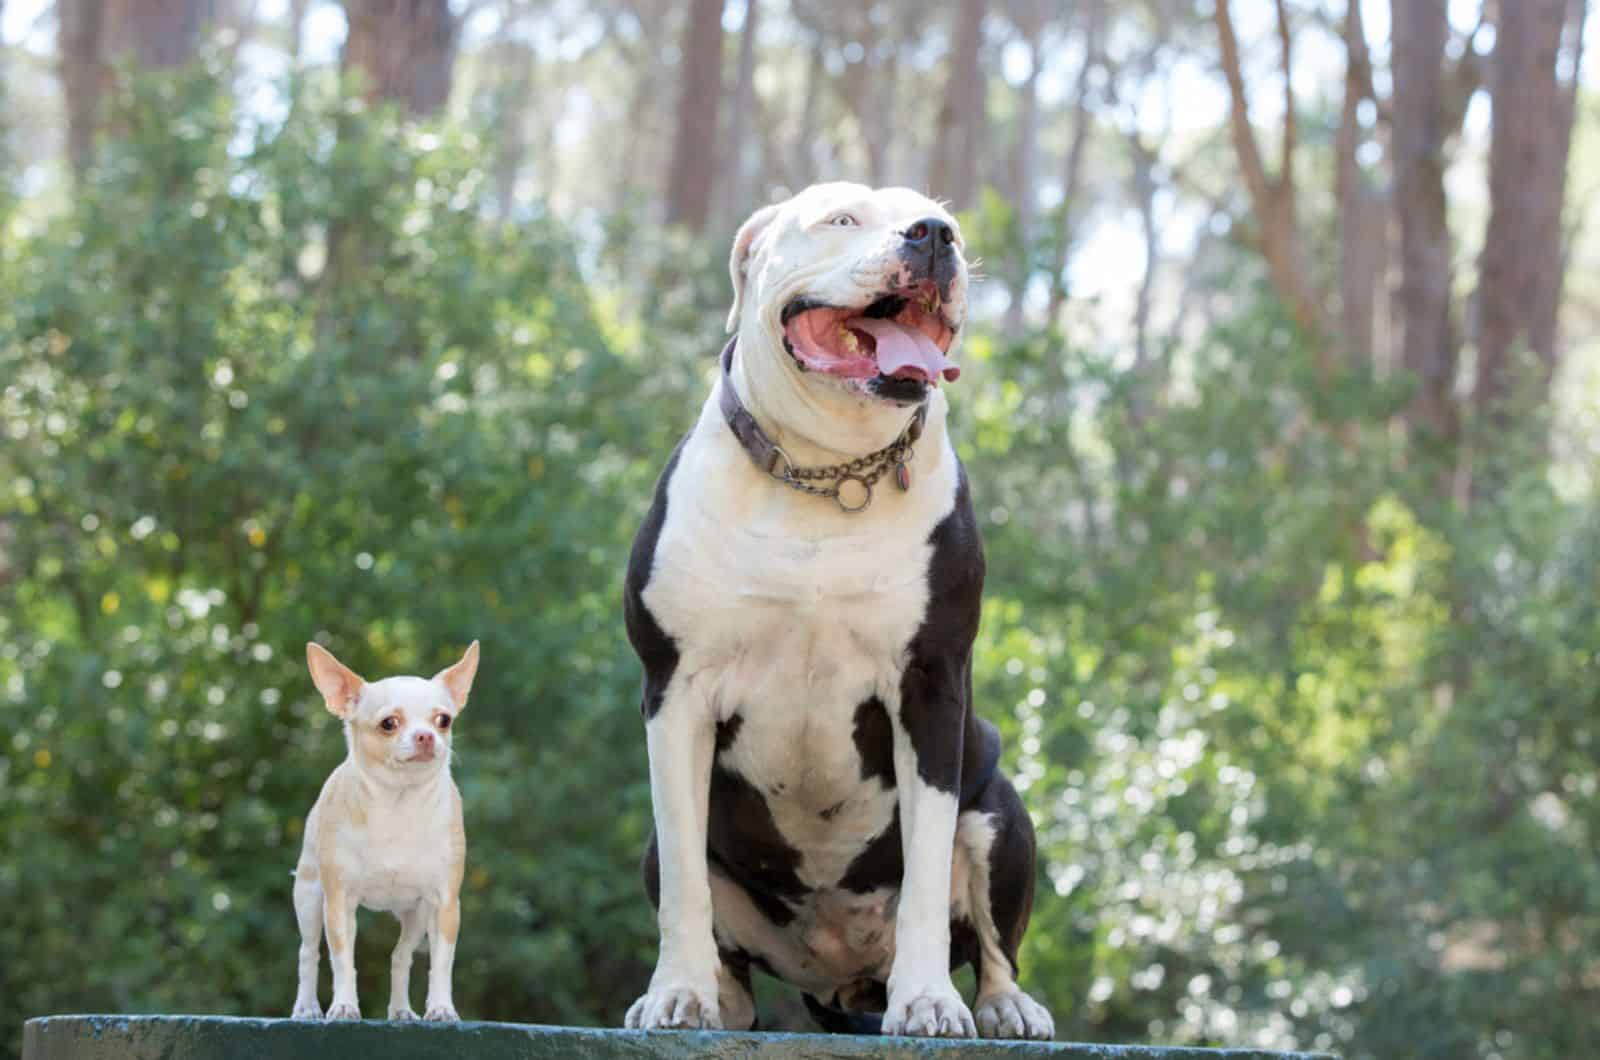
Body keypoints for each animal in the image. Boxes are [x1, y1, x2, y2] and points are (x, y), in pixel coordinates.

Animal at [289, 640, 476, 1024]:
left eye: (444, 720)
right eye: (389, 723)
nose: (426, 735)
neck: (398, 804)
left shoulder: (444, 904)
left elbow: (442, 962)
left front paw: (441, 1007)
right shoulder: (338, 904)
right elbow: (342, 961)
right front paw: (344, 1005)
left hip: (415, 915)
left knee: (400, 956)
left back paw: (401, 1009)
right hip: (309, 897)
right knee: (308, 952)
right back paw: (307, 1007)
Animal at [627, 180, 1062, 1037]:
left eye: (947, 222)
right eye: (840, 219)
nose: (934, 236)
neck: (829, 473)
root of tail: (837, 978)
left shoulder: (930, 690)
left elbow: (925, 873)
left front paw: (927, 1000)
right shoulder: (677, 689)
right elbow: (687, 884)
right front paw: (677, 992)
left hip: (1000, 810)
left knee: (994, 938)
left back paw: (1005, 1005)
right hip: (666, 856)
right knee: (711, 921)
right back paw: (719, 998)